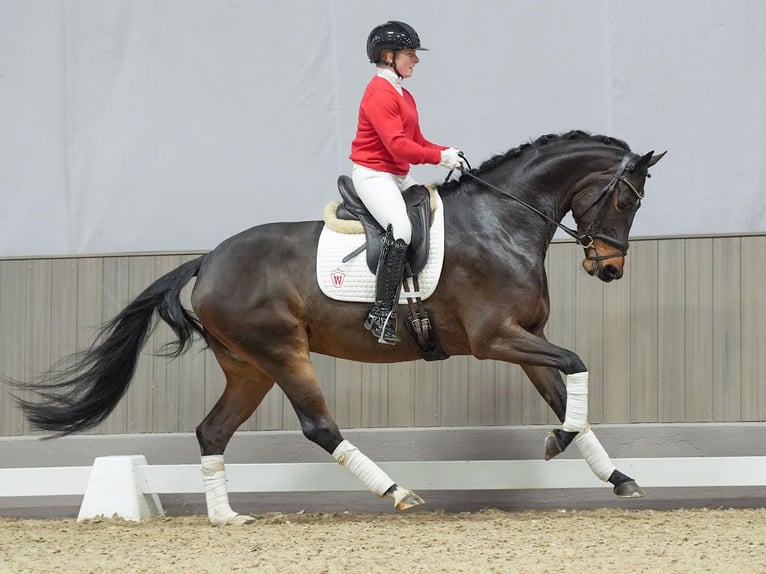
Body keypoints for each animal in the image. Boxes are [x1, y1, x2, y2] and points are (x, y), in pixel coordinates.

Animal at [9, 130, 664, 528]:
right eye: (625, 201)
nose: (608, 268)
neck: (501, 221)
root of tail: (208, 260)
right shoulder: (493, 338)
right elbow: (576, 365)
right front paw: (559, 444)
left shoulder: (526, 340)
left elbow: (569, 399)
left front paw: (618, 477)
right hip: (282, 353)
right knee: (319, 426)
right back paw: (396, 491)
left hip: (247, 367)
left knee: (212, 430)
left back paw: (226, 517)